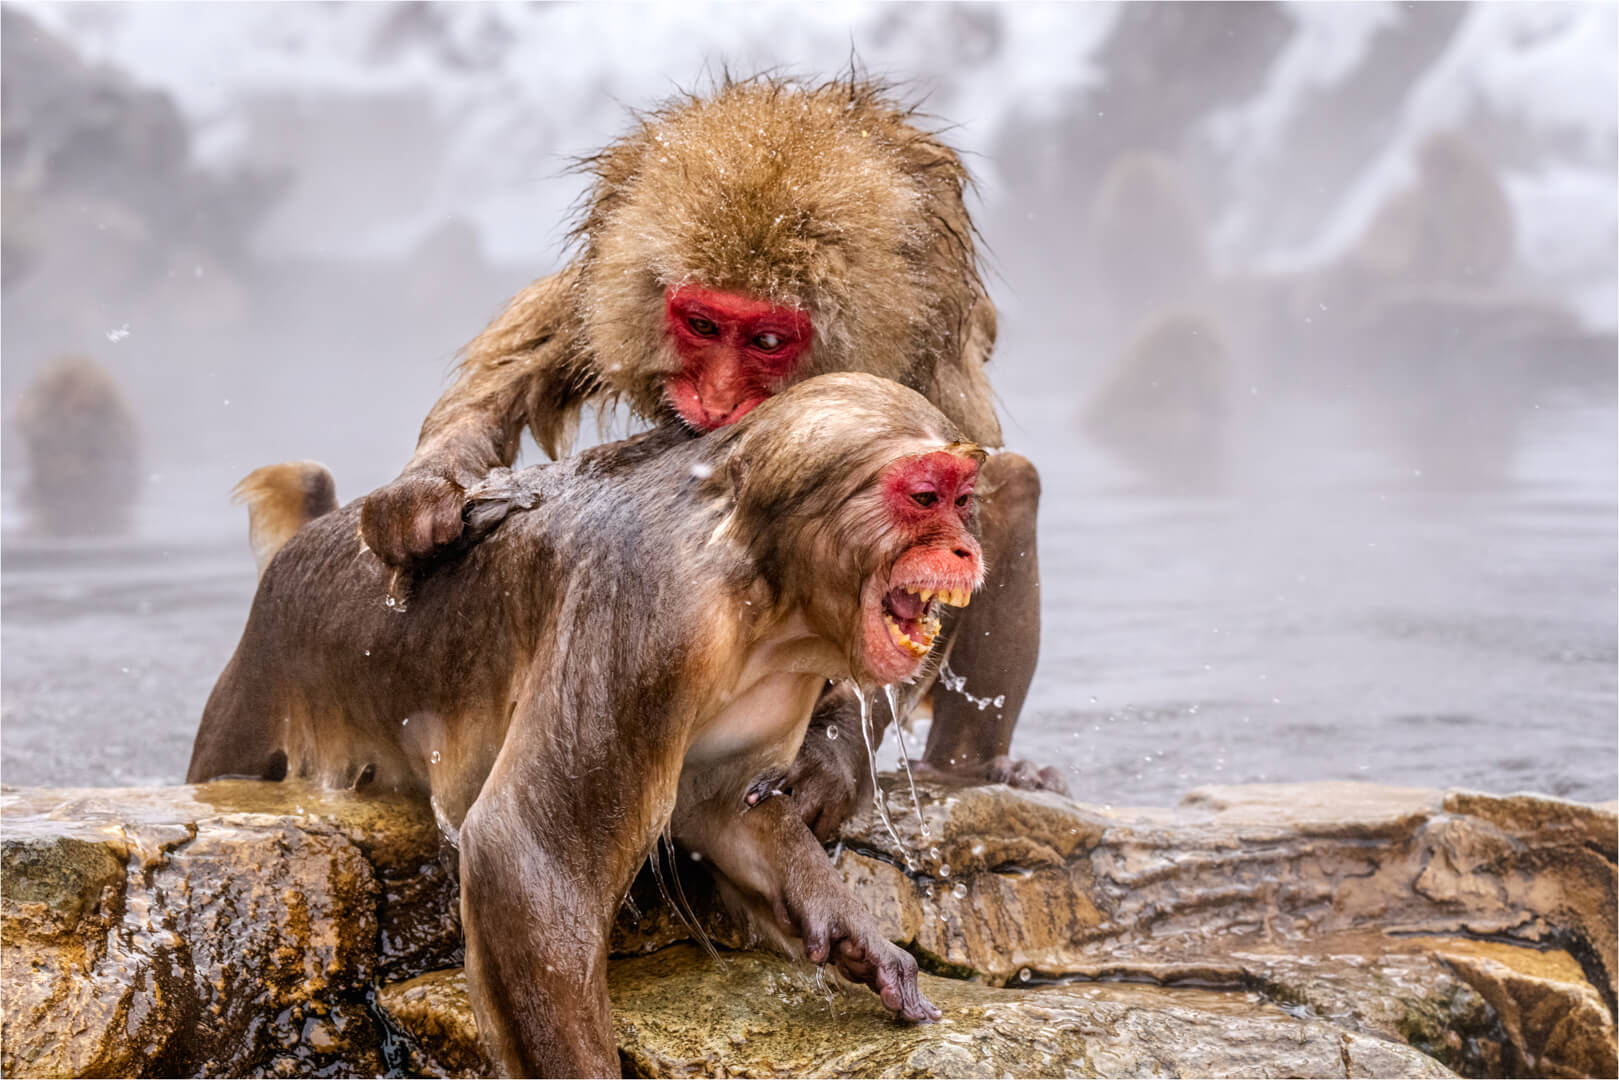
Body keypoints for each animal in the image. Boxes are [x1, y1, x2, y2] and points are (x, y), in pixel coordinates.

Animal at [188, 372, 984, 1076]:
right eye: (924, 497)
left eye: (963, 500)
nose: (965, 547)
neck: (759, 581)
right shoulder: (650, 619)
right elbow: (526, 853)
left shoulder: (784, 674)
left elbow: (723, 806)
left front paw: (853, 936)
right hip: (265, 675)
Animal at [356, 76, 1065, 836]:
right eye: (701, 324)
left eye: (766, 341)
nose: (721, 400)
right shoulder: (610, 280)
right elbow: (511, 376)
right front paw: (417, 503)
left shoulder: (924, 354)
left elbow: (941, 537)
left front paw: (835, 755)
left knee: (1012, 487)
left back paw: (976, 765)